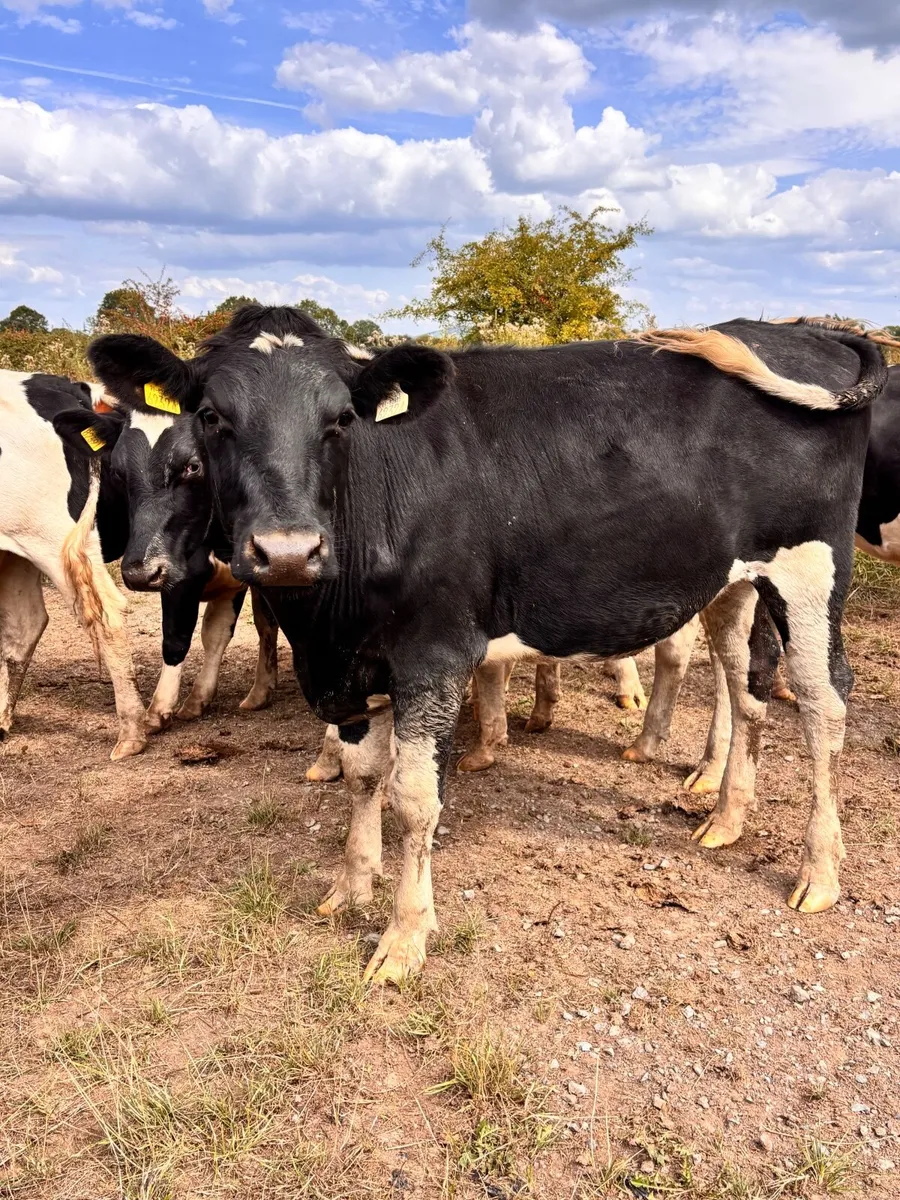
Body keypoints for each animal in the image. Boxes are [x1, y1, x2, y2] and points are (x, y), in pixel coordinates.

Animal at [88, 306, 885, 985]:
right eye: (211, 417)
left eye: (341, 419)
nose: (287, 550)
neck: (327, 619)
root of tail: (805, 331)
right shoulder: (348, 665)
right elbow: (360, 776)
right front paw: (351, 886)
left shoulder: (434, 654)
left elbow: (414, 797)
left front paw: (403, 938)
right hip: (732, 581)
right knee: (748, 688)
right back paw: (725, 820)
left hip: (813, 569)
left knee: (824, 704)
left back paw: (819, 871)